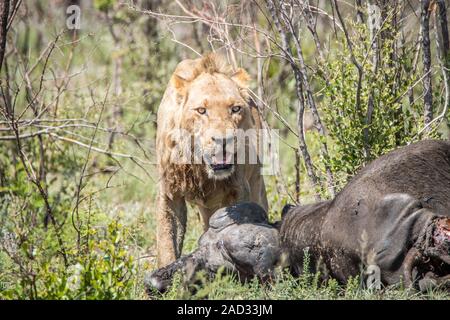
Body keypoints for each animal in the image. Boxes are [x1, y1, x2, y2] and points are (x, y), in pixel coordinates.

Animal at [155, 53, 268, 268]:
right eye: (201, 110)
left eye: (235, 109)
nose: (224, 140)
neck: (199, 167)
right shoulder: (170, 195)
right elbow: (167, 245)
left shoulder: (239, 190)